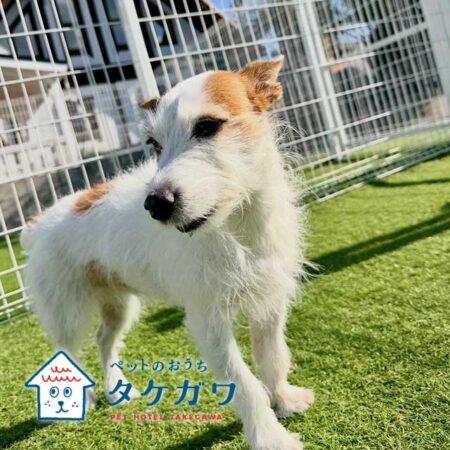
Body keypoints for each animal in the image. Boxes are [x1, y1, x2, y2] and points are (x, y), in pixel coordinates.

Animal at [21, 58, 313, 449]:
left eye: (207, 126)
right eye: (154, 143)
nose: (155, 204)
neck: (237, 223)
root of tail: (38, 223)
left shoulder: (269, 304)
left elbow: (273, 358)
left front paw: (284, 400)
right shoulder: (208, 321)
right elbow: (244, 384)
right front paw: (270, 438)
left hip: (118, 304)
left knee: (104, 339)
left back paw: (116, 390)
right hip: (66, 311)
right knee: (65, 350)